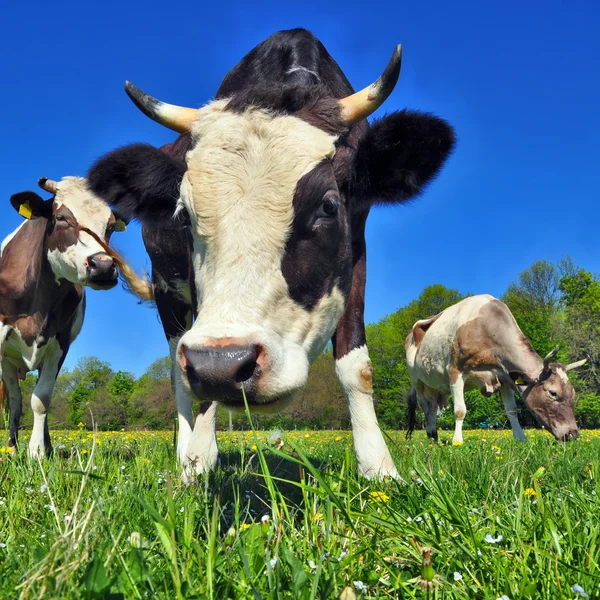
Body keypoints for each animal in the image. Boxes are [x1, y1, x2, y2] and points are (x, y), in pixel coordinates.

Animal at [0, 176, 152, 458]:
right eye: (61, 217)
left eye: (110, 226)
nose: (103, 265)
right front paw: (24, 450)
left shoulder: (60, 343)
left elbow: (42, 399)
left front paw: (38, 452)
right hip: (8, 362)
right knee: (13, 400)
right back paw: (12, 448)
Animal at [88, 28, 454, 480]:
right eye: (184, 214)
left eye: (328, 206)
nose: (223, 363)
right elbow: (195, 382)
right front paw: (198, 462)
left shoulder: (355, 255)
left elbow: (357, 366)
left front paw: (379, 467)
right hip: (167, 291)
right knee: (177, 368)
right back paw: (186, 451)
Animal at [406, 292, 588, 442]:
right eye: (553, 393)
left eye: (573, 393)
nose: (572, 434)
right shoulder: (455, 371)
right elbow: (460, 410)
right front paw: (457, 441)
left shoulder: (504, 376)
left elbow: (512, 410)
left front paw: (521, 439)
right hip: (417, 381)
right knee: (426, 408)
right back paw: (432, 438)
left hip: (434, 386)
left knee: (433, 407)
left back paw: (434, 437)